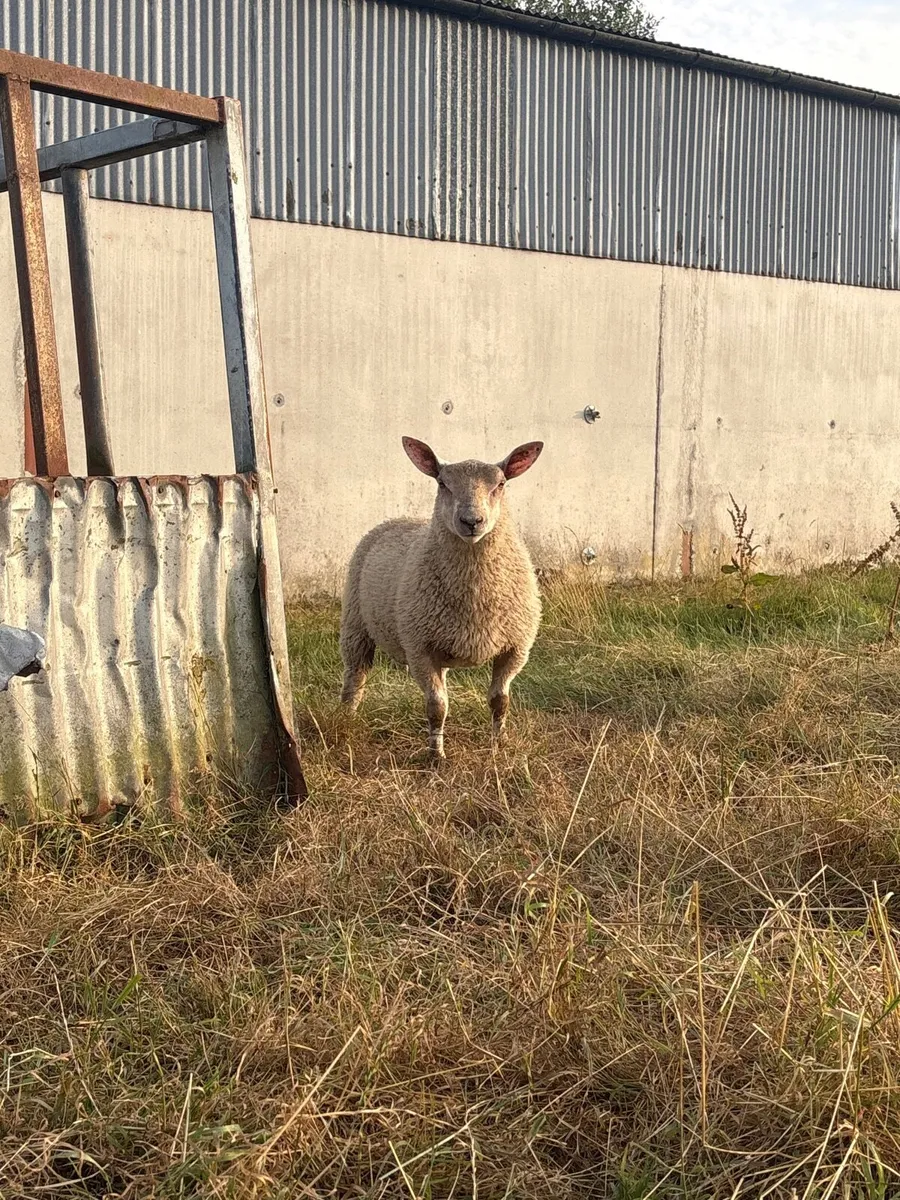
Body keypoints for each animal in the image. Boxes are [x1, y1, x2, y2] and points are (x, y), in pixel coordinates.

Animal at [340, 436, 543, 760]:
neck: (476, 596)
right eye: (442, 483)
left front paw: (498, 745)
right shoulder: (419, 649)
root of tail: (396, 518)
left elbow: (500, 701)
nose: (472, 521)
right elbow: (436, 706)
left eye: (500, 484)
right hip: (355, 624)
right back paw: (347, 717)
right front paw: (436, 756)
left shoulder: (515, 649)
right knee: (355, 676)